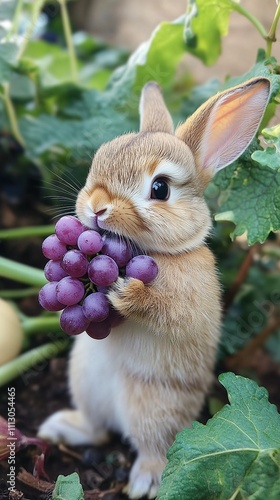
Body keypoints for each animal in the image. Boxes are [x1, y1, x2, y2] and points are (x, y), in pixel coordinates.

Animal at [38, 76, 270, 498]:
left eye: (160, 188)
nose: (97, 206)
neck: (157, 252)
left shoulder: (190, 300)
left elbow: (170, 312)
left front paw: (125, 292)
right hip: (85, 382)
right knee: (98, 431)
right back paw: (60, 428)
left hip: (153, 404)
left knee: (154, 447)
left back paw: (145, 481)